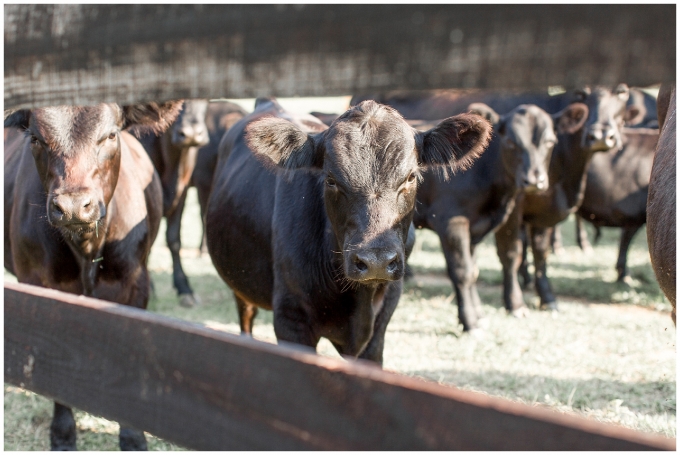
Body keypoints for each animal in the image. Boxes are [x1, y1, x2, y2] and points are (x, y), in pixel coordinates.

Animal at [3, 100, 183, 452]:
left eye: (111, 135)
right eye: (35, 138)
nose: (73, 206)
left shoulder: (132, 284)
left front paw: (132, 438)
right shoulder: (38, 285)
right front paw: (62, 436)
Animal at [412, 103, 588, 332]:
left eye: (550, 142)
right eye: (511, 142)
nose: (534, 180)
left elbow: (476, 269)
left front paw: (479, 314)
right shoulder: (451, 222)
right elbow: (463, 271)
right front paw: (470, 322)